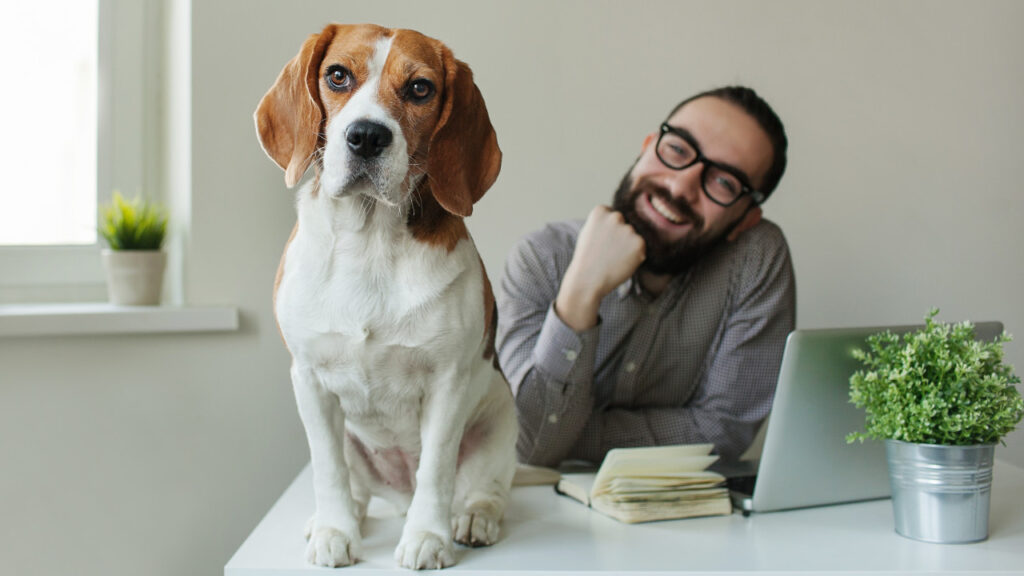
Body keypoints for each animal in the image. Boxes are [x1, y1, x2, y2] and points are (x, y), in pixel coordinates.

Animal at [252, 23, 516, 569]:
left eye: (420, 88)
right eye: (337, 75)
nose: (367, 135)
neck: (369, 241)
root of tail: (396, 496)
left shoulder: (448, 384)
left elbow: (435, 472)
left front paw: (428, 538)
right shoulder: (309, 379)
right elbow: (327, 469)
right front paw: (336, 531)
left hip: (501, 415)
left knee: (484, 489)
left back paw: (474, 518)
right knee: (352, 481)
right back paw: (336, 516)